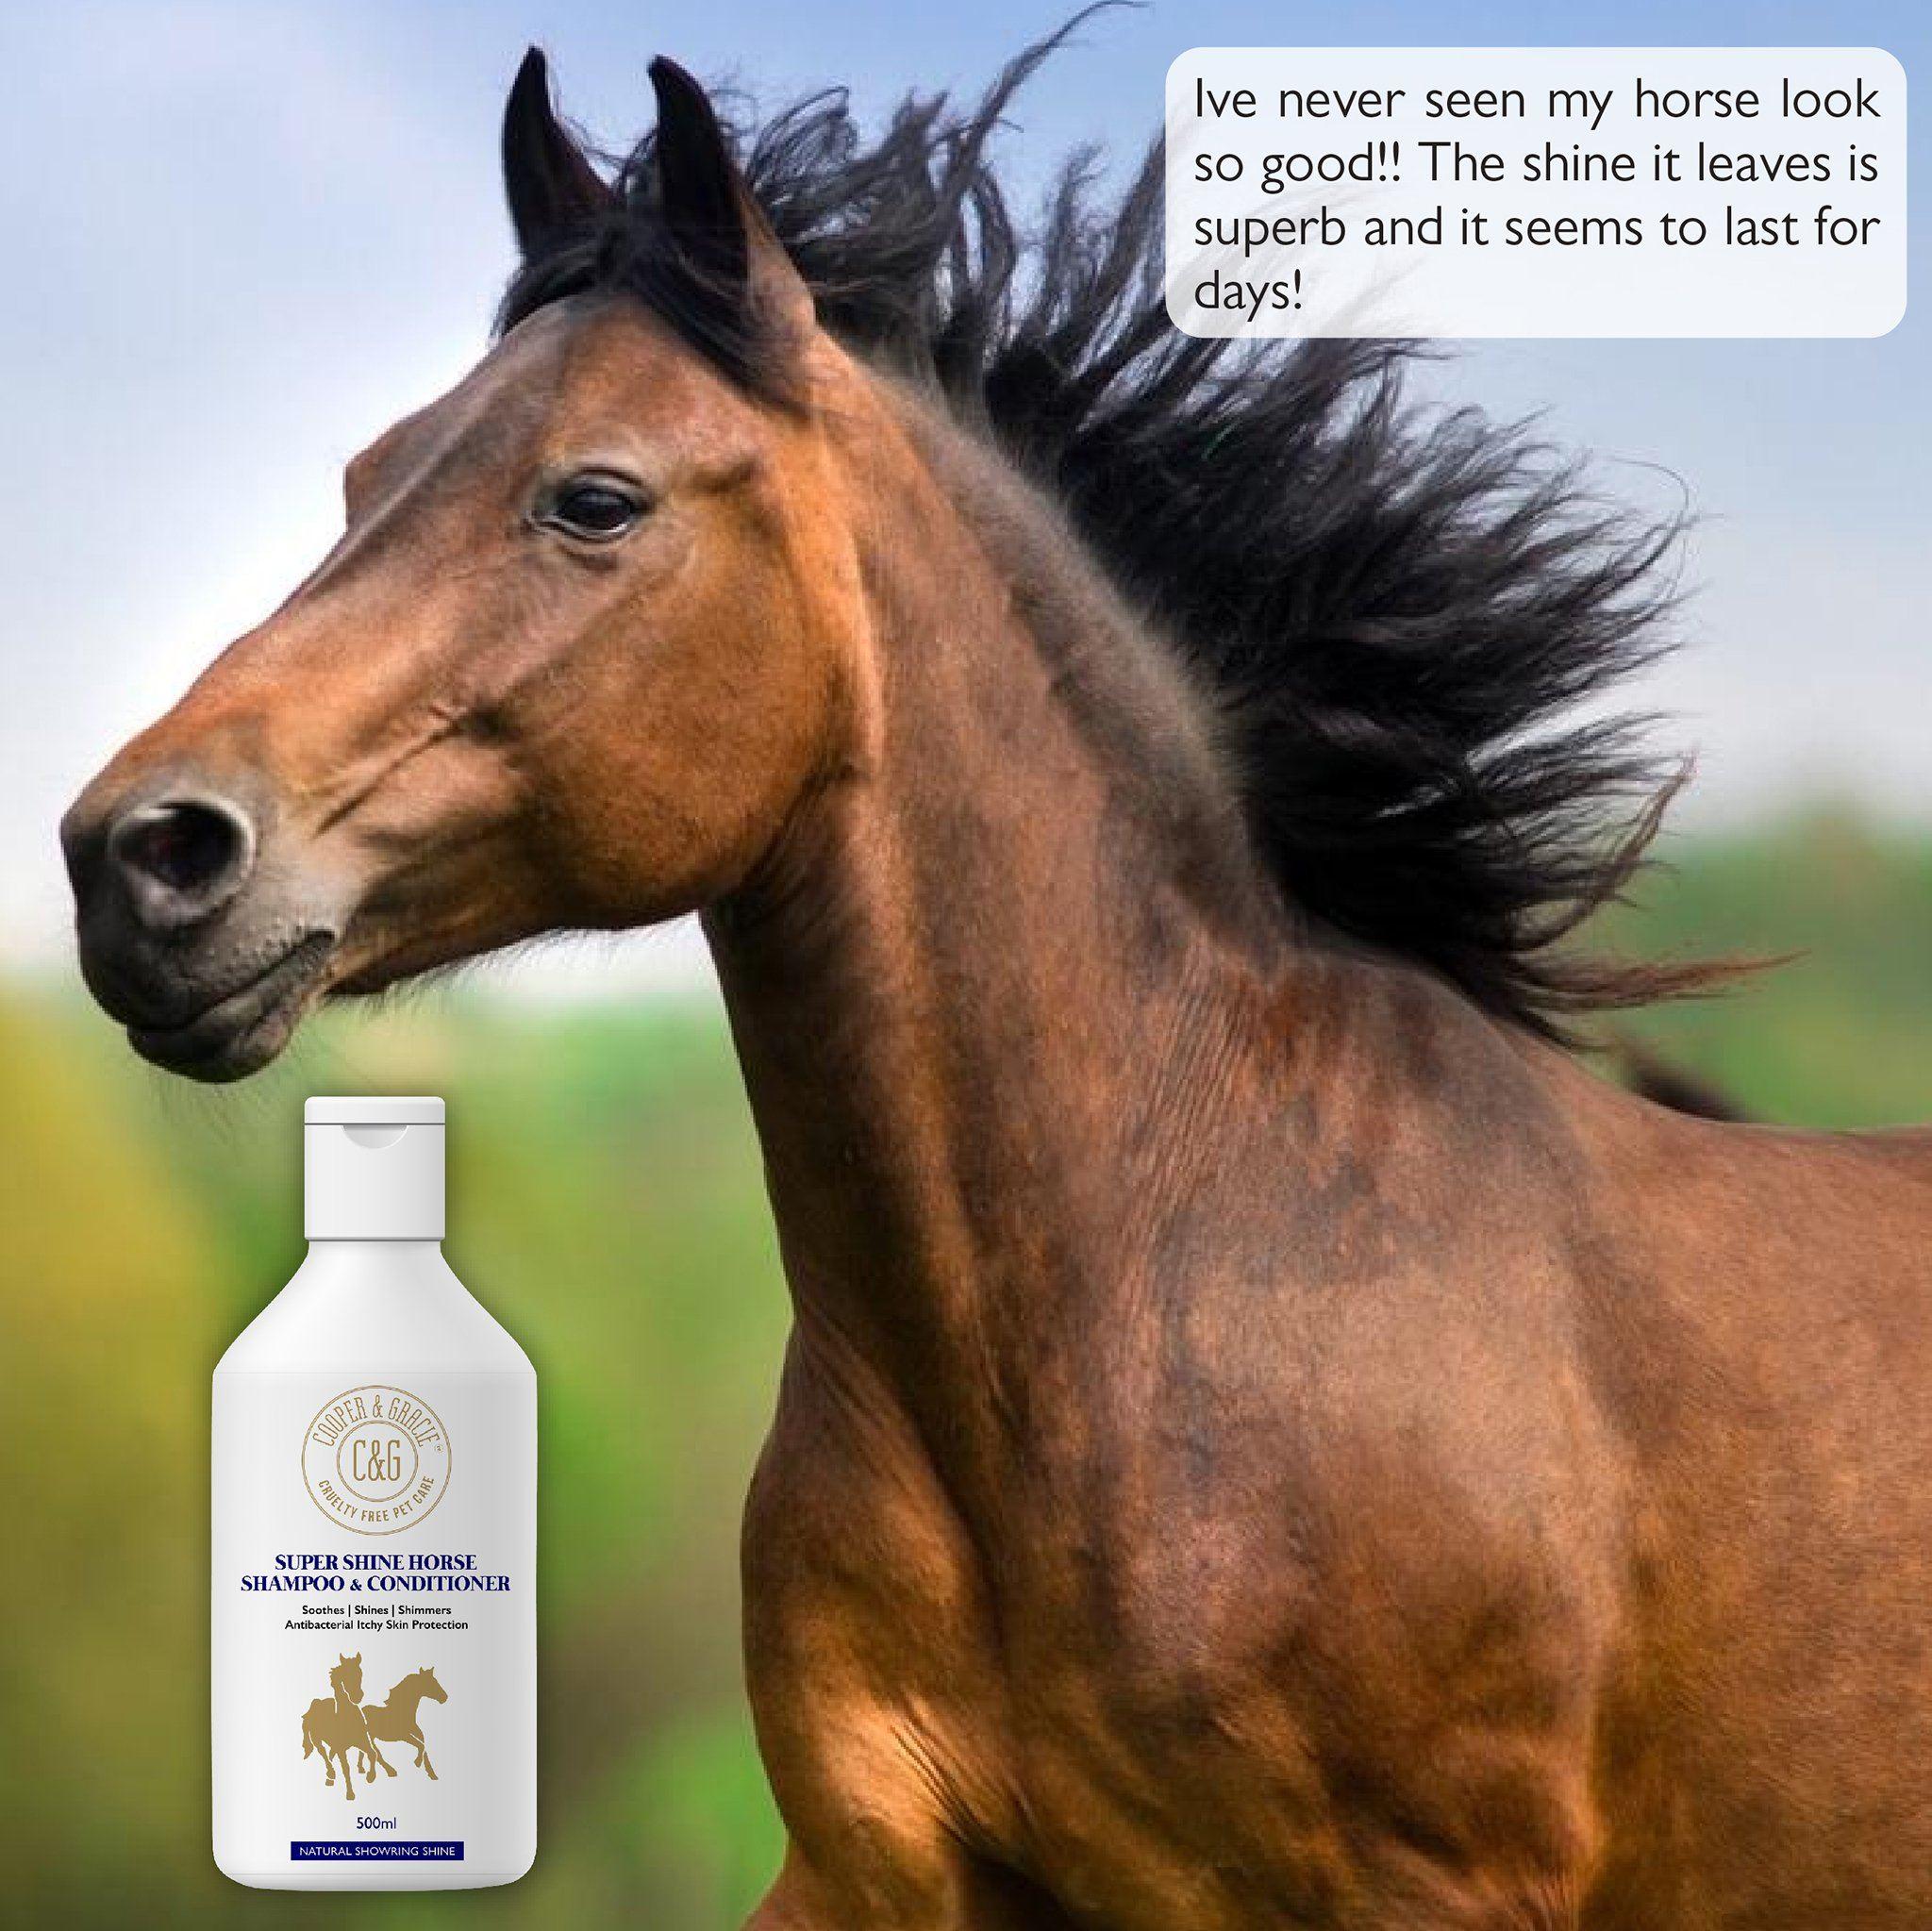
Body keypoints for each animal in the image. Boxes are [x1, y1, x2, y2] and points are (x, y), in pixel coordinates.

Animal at [300, 1652, 388, 1801]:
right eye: (344, 1676)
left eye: (360, 1673)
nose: (357, 1697)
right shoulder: (341, 1749)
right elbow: (346, 1768)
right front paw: (350, 1794)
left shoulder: (362, 1741)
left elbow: (373, 1754)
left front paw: (370, 1777)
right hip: (317, 1740)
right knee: (324, 1753)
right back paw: (330, 1774)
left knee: (330, 1754)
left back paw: (330, 1778)